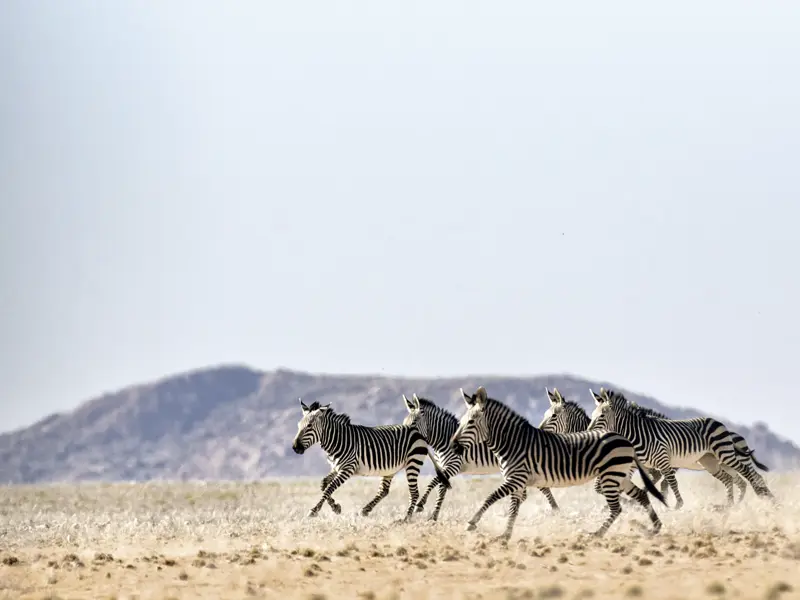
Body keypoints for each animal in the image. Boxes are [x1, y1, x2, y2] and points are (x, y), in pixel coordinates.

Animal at [290, 398, 450, 520]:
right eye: (298, 426)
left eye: (309, 426)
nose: (295, 448)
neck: (337, 440)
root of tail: (418, 432)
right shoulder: (336, 467)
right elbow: (324, 485)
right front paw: (336, 507)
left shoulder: (347, 468)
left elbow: (329, 488)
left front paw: (314, 510)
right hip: (390, 469)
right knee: (384, 491)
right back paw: (366, 509)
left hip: (413, 462)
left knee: (414, 493)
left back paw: (406, 519)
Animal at [400, 394, 564, 520]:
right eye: (404, 422)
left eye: (414, 422)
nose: (405, 438)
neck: (444, 439)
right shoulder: (444, 467)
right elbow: (441, 488)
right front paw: (434, 516)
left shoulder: (454, 465)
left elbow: (433, 482)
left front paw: (421, 505)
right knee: (526, 493)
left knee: (541, 489)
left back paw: (555, 510)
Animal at [446, 386, 664, 540]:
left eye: (471, 422)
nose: (453, 445)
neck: (513, 442)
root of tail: (625, 439)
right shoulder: (518, 482)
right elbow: (513, 508)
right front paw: (505, 535)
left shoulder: (516, 479)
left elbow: (491, 497)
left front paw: (472, 523)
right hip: (620, 475)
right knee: (641, 495)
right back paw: (654, 528)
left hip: (611, 476)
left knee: (617, 508)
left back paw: (597, 534)